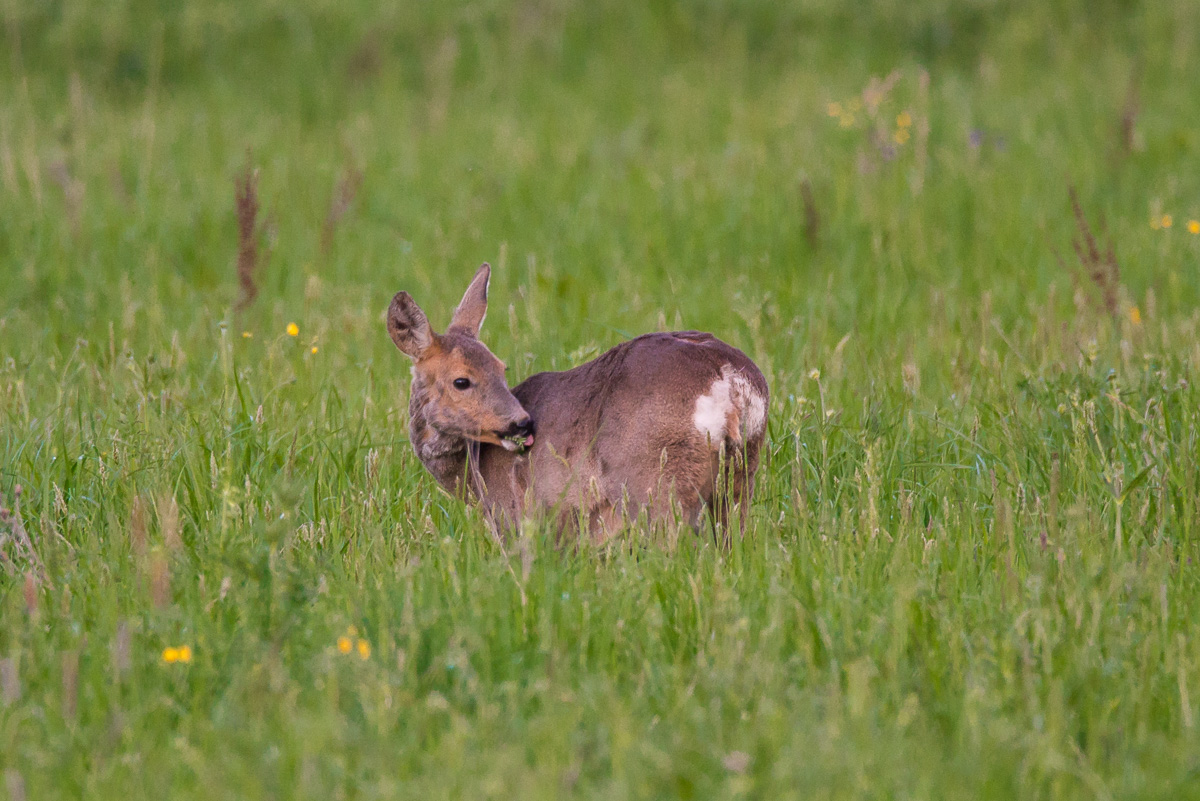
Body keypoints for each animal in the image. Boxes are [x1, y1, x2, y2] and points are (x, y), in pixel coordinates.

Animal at [386, 263, 769, 543]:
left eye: (501, 369)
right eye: (462, 381)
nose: (522, 423)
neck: (472, 474)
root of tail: (729, 378)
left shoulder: (519, 518)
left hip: (655, 480)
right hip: (740, 474)